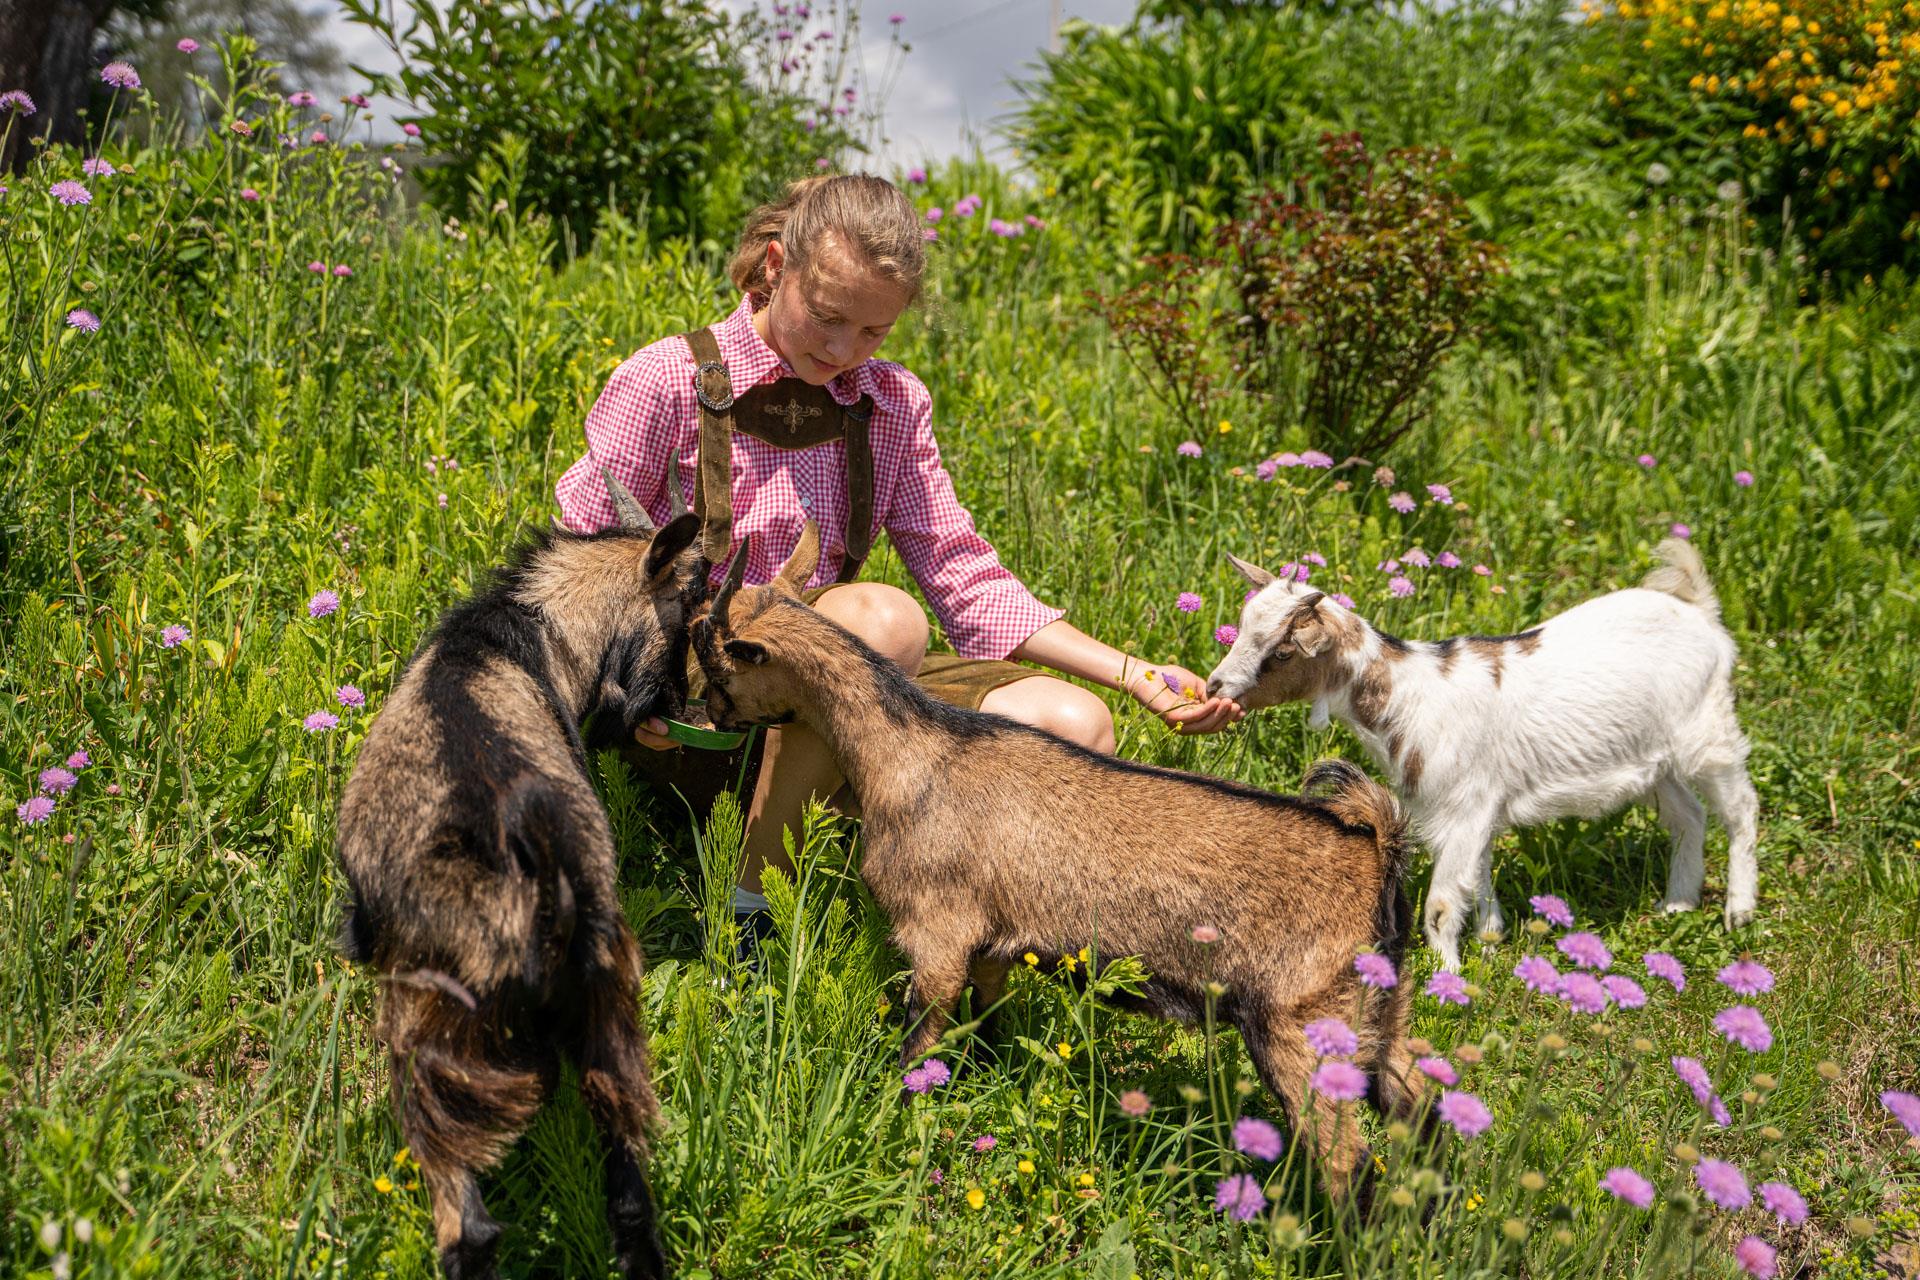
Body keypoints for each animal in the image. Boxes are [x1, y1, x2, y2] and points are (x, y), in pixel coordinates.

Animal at [337, 474, 706, 1280]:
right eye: (691, 617)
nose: (687, 708)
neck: (530, 637)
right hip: (608, 1010)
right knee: (628, 1196)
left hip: (430, 1032)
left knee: (466, 1223)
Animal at [691, 521, 1428, 1205]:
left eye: (713, 652)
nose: (704, 713)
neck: (912, 755)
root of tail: (1376, 849)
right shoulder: (991, 942)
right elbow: (985, 1020)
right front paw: (988, 1080)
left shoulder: (937, 936)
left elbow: (918, 1049)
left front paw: (892, 1122)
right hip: (1382, 1017)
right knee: (1419, 1109)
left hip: (1302, 1028)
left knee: (1350, 1165)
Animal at [1205, 537, 1758, 971]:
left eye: (1281, 652)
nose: (1214, 686)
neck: (1411, 693)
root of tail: (1699, 611)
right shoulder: (1475, 807)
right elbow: (1478, 879)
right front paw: (1490, 943)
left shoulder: (1463, 805)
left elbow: (1441, 905)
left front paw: (1446, 980)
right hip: (1653, 760)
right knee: (1688, 815)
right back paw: (1678, 905)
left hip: (1707, 732)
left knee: (1741, 809)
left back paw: (1739, 911)